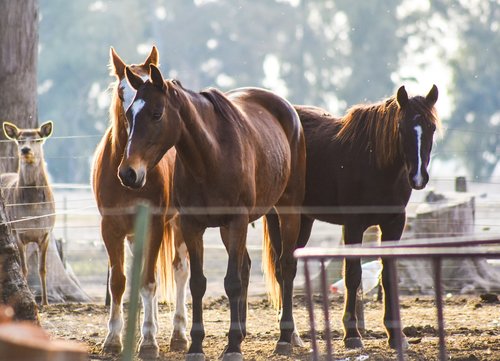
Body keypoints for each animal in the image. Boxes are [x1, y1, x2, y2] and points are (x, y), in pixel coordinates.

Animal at [0, 120, 55, 304]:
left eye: (38, 139)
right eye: (19, 140)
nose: (25, 150)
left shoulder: (46, 233)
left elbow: (42, 269)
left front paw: (45, 302)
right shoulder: (18, 232)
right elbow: (23, 269)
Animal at [90, 47, 189, 358]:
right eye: (123, 90)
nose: (129, 173)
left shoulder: (156, 224)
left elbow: (148, 282)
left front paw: (148, 341)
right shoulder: (110, 228)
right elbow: (119, 282)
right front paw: (113, 339)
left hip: (179, 224)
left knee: (180, 271)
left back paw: (178, 333)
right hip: (135, 234)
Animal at [117, 64, 306, 360]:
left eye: (156, 114)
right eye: (128, 115)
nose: (128, 173)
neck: (211, 156)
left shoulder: (237, 221)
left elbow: (232, 282)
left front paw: (233, 348)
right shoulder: (192, 225)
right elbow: (198, 283)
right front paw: (197, 345)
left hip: (287, 211)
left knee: (285, 266)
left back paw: (285, 337)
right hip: (232, 229)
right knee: (246, 267)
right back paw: (242, 332)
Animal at [264, 83, 440, 348]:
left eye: (432, 127)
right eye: (401, 127)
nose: (418, 177)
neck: (376, 163)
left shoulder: (394, 224)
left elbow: (387, 275)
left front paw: (396, 335)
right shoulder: (353, 224)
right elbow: (353, 275)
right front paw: (352, 334)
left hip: (304, 220)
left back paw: (293, 335)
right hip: (280, 218)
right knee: (283, 269)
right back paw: (287, 335)